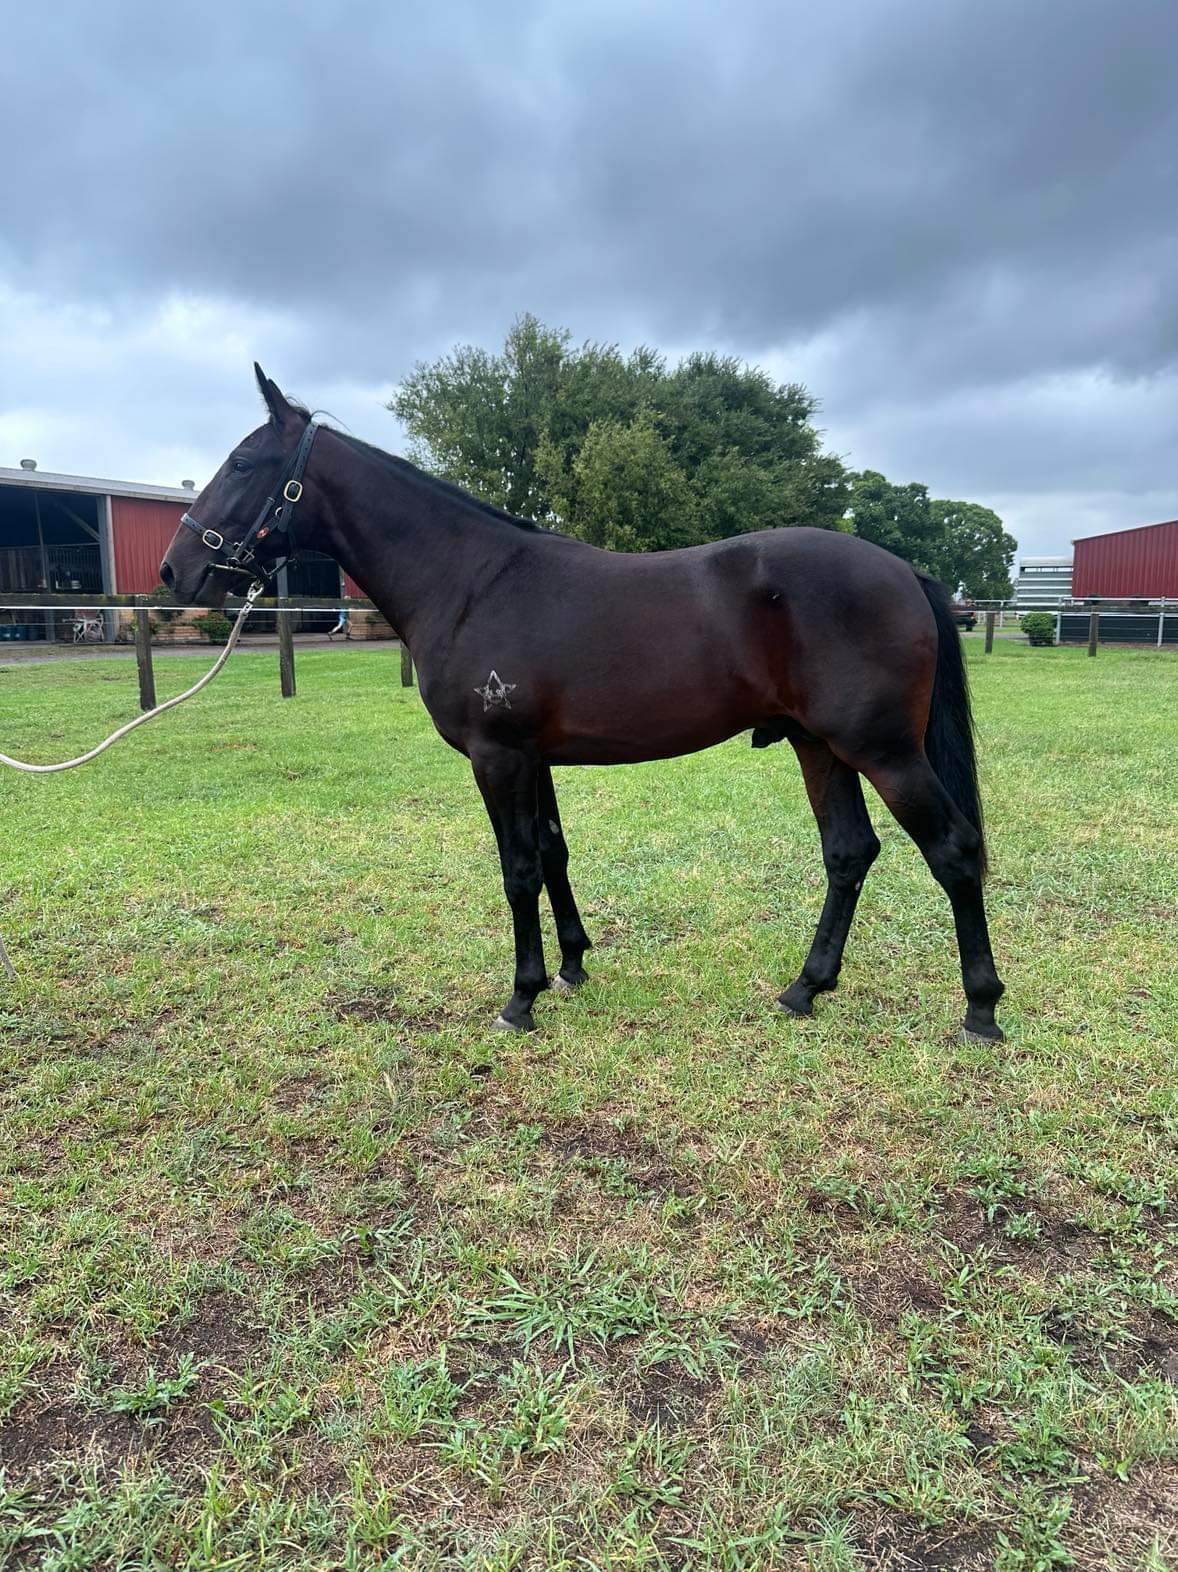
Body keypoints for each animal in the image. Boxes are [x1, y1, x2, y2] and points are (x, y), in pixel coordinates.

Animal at [161, 365, 1004, 1041]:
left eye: (242, 463)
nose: (176, 570)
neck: (472, 582)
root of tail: (905, 572)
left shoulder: (498, 757)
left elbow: (517, 868)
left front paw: (520, 998)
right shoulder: (533, 757)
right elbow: (553, 852)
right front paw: (571, 966)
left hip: (883, 751)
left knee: (953, 850)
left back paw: (981, 1009)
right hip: (818, 745)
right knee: (849, 852)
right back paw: (805, 988)